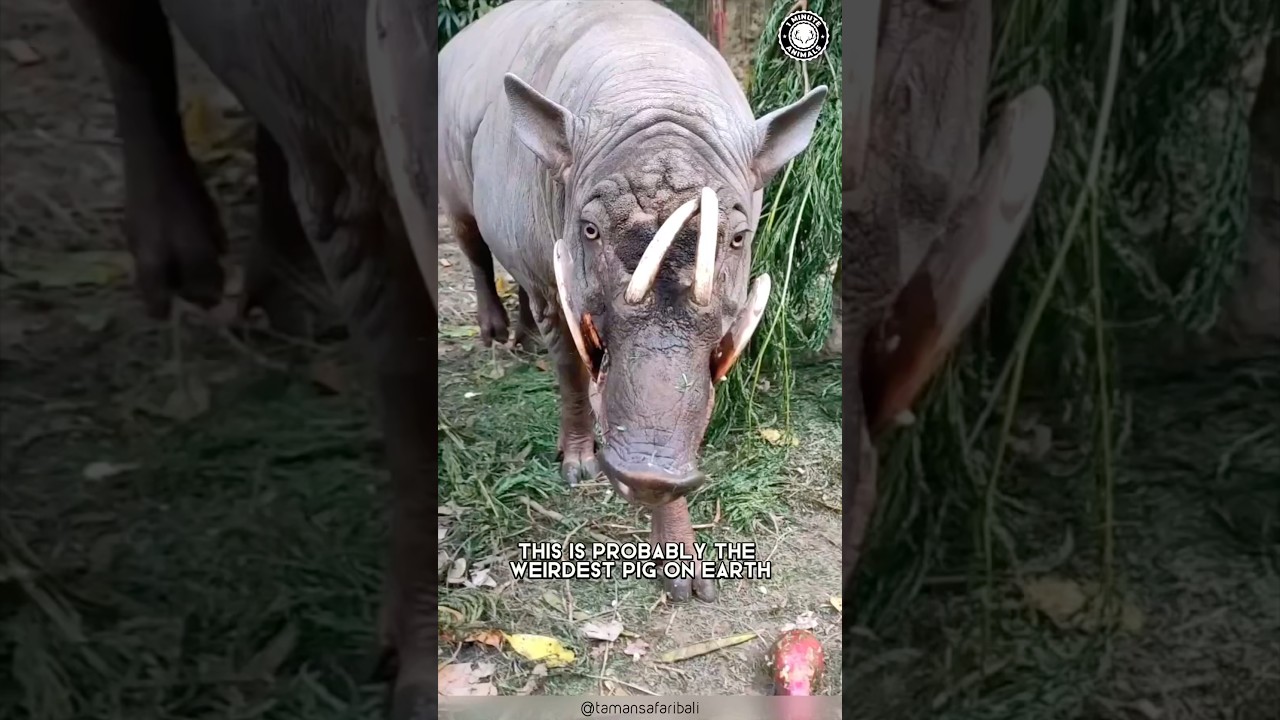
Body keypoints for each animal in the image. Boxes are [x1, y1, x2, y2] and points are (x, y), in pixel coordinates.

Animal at [437, 0, 827, 603]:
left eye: (739, 238)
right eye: (589, 229)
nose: (647, 472)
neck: (655, 88)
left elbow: (691, 401)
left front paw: (686, 575)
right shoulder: (555, 283)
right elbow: (572, 369)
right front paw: (577, 467)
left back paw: (522, 337)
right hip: (455, 185)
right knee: (476, 249)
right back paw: (497, 333)